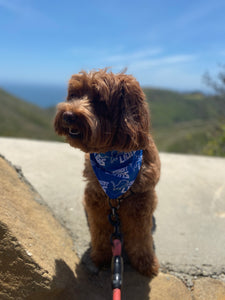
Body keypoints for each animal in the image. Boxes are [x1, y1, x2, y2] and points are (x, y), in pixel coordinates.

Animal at [54, 69, 160, 278]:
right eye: (74, 95)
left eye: (99, 100)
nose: (68, 115)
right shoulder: (96, 198)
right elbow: (100, 233)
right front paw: (101, 257)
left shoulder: (141, 202)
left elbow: (141, 237)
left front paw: (145, 263)